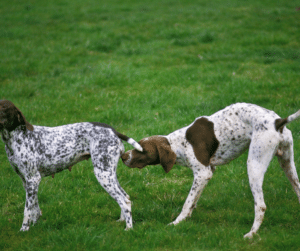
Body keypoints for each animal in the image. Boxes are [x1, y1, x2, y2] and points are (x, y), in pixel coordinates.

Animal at [0, 100, 143, 231]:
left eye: (4, 107)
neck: (17, 137)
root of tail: (113, 131)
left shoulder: (33, 179)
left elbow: (27, 210)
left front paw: (24, 229)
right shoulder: (27, 182)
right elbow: (34, 208)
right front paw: (35, 224)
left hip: (103, 175)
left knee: (124, 201)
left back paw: (129, 228)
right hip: (109, 174)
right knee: (125, 197)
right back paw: (121, 220)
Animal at [122, 102, 300, 237]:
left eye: (142, 149)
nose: (123, 156)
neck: (180, 143)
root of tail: (277, 122)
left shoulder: (202, 173)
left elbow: (187, 202)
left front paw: (177, 222)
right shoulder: (208, 172)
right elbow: (194, 200)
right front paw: (187, 219)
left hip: (254, 165)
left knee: (261, 206)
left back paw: (252, 234)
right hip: (287, 164)